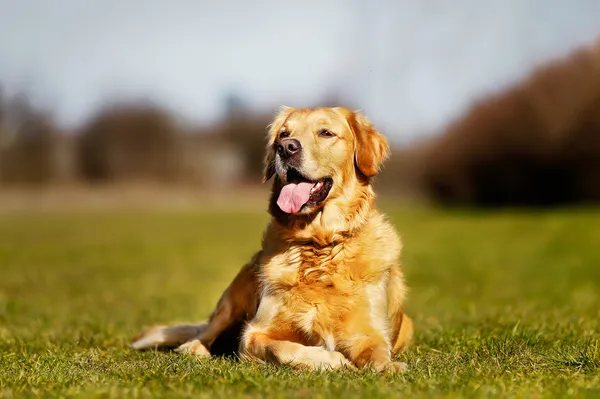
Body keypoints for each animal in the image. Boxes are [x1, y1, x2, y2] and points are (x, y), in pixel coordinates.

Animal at [131, 105, 412, 372]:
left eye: (326, 133)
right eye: (284, 134)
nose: (286, 148)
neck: (318, 244)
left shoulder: (371, 333)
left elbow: (377, 354)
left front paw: (389, 367)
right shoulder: (254, 334)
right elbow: (285, 349)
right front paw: (332, 360)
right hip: (233, 295)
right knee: (205, 332)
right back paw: (195, 347)